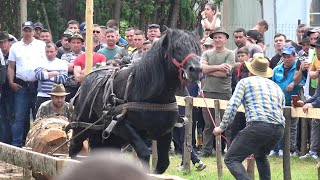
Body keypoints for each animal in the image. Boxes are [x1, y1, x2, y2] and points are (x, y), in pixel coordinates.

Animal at [69, 28, 201, 174]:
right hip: (82, 126)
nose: (196, 69)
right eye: (176, 48)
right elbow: (144, 153)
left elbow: (163, 164)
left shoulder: (165, 132)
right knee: (74, 147)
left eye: (196, 48)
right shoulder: (124, 127)